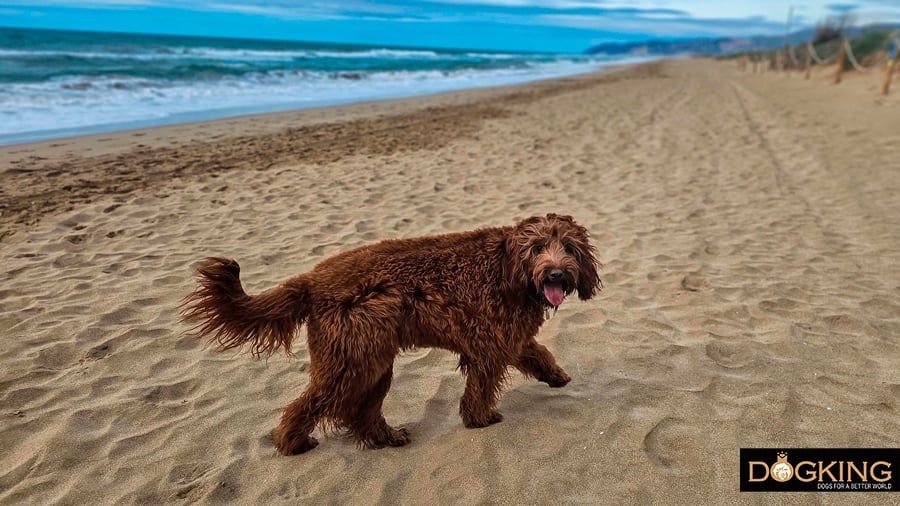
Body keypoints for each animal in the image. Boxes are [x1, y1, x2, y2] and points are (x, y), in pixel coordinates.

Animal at [179, 213, 600, 454]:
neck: (508, 268)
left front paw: (556, 376)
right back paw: (293, 443)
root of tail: (311, 281)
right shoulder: (489, 345)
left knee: (359, 411)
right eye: (538, 247)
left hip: (371, 364)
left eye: (569, 248)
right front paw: (480, 419)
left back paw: (386, 438)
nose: (556, 274)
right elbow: (482, 386)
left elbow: (537, 353)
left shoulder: (508, 338)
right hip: (352, 362)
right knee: (313, 403)